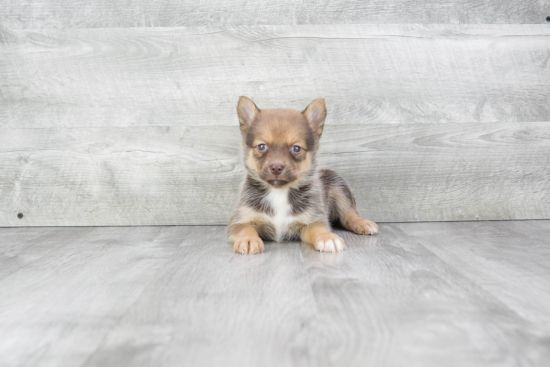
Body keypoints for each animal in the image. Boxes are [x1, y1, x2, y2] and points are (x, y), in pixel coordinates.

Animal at [226, 96, 378, 254]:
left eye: (296, 148)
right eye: (262, 146)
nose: (276, 167)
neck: (279, 192)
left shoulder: (312, 219)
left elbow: (318, 229)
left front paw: (327, 237)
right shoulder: (239, 220)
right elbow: (246, 229)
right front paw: (248, 240)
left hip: (339, 187)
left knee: (349, 214)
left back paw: (362, 223)